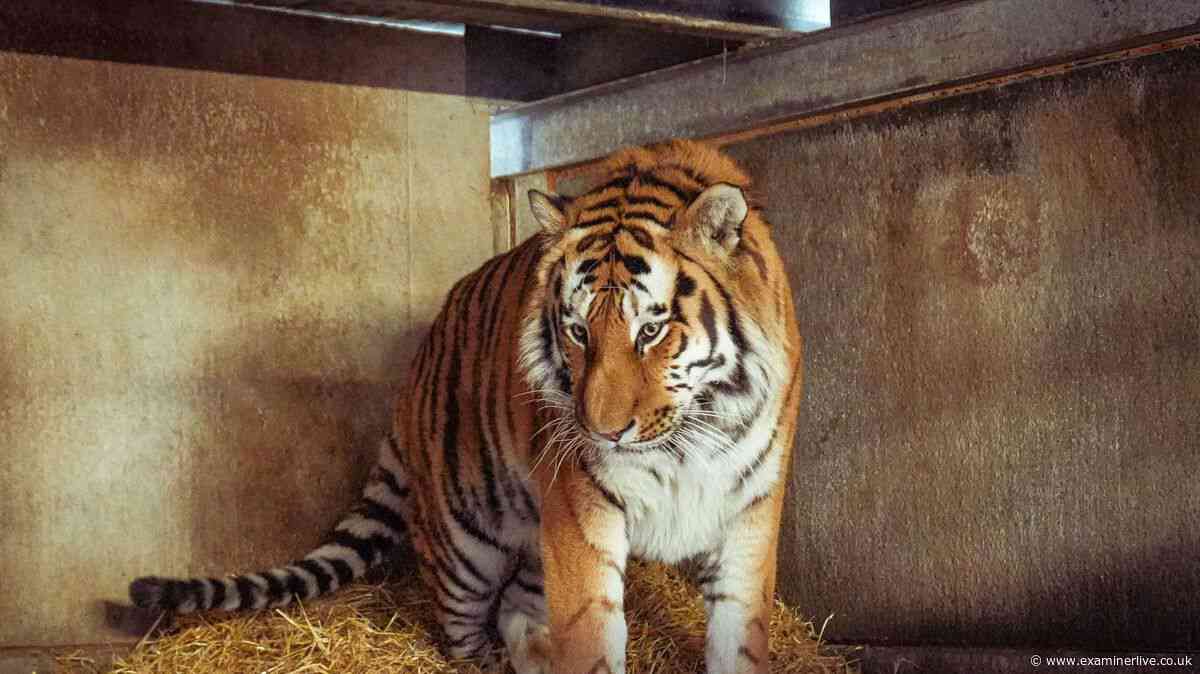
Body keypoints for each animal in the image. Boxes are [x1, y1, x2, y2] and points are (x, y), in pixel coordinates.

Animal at [129, 139, 803, 674]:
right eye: (578, 332)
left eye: (651, 331)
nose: (602, 432)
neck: (689, 439)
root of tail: (414, 371)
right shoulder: (581, 514)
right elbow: (590, 636)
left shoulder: (749, 510)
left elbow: (739, 637)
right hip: (465, 540)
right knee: (463, 627)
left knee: (517, 605)